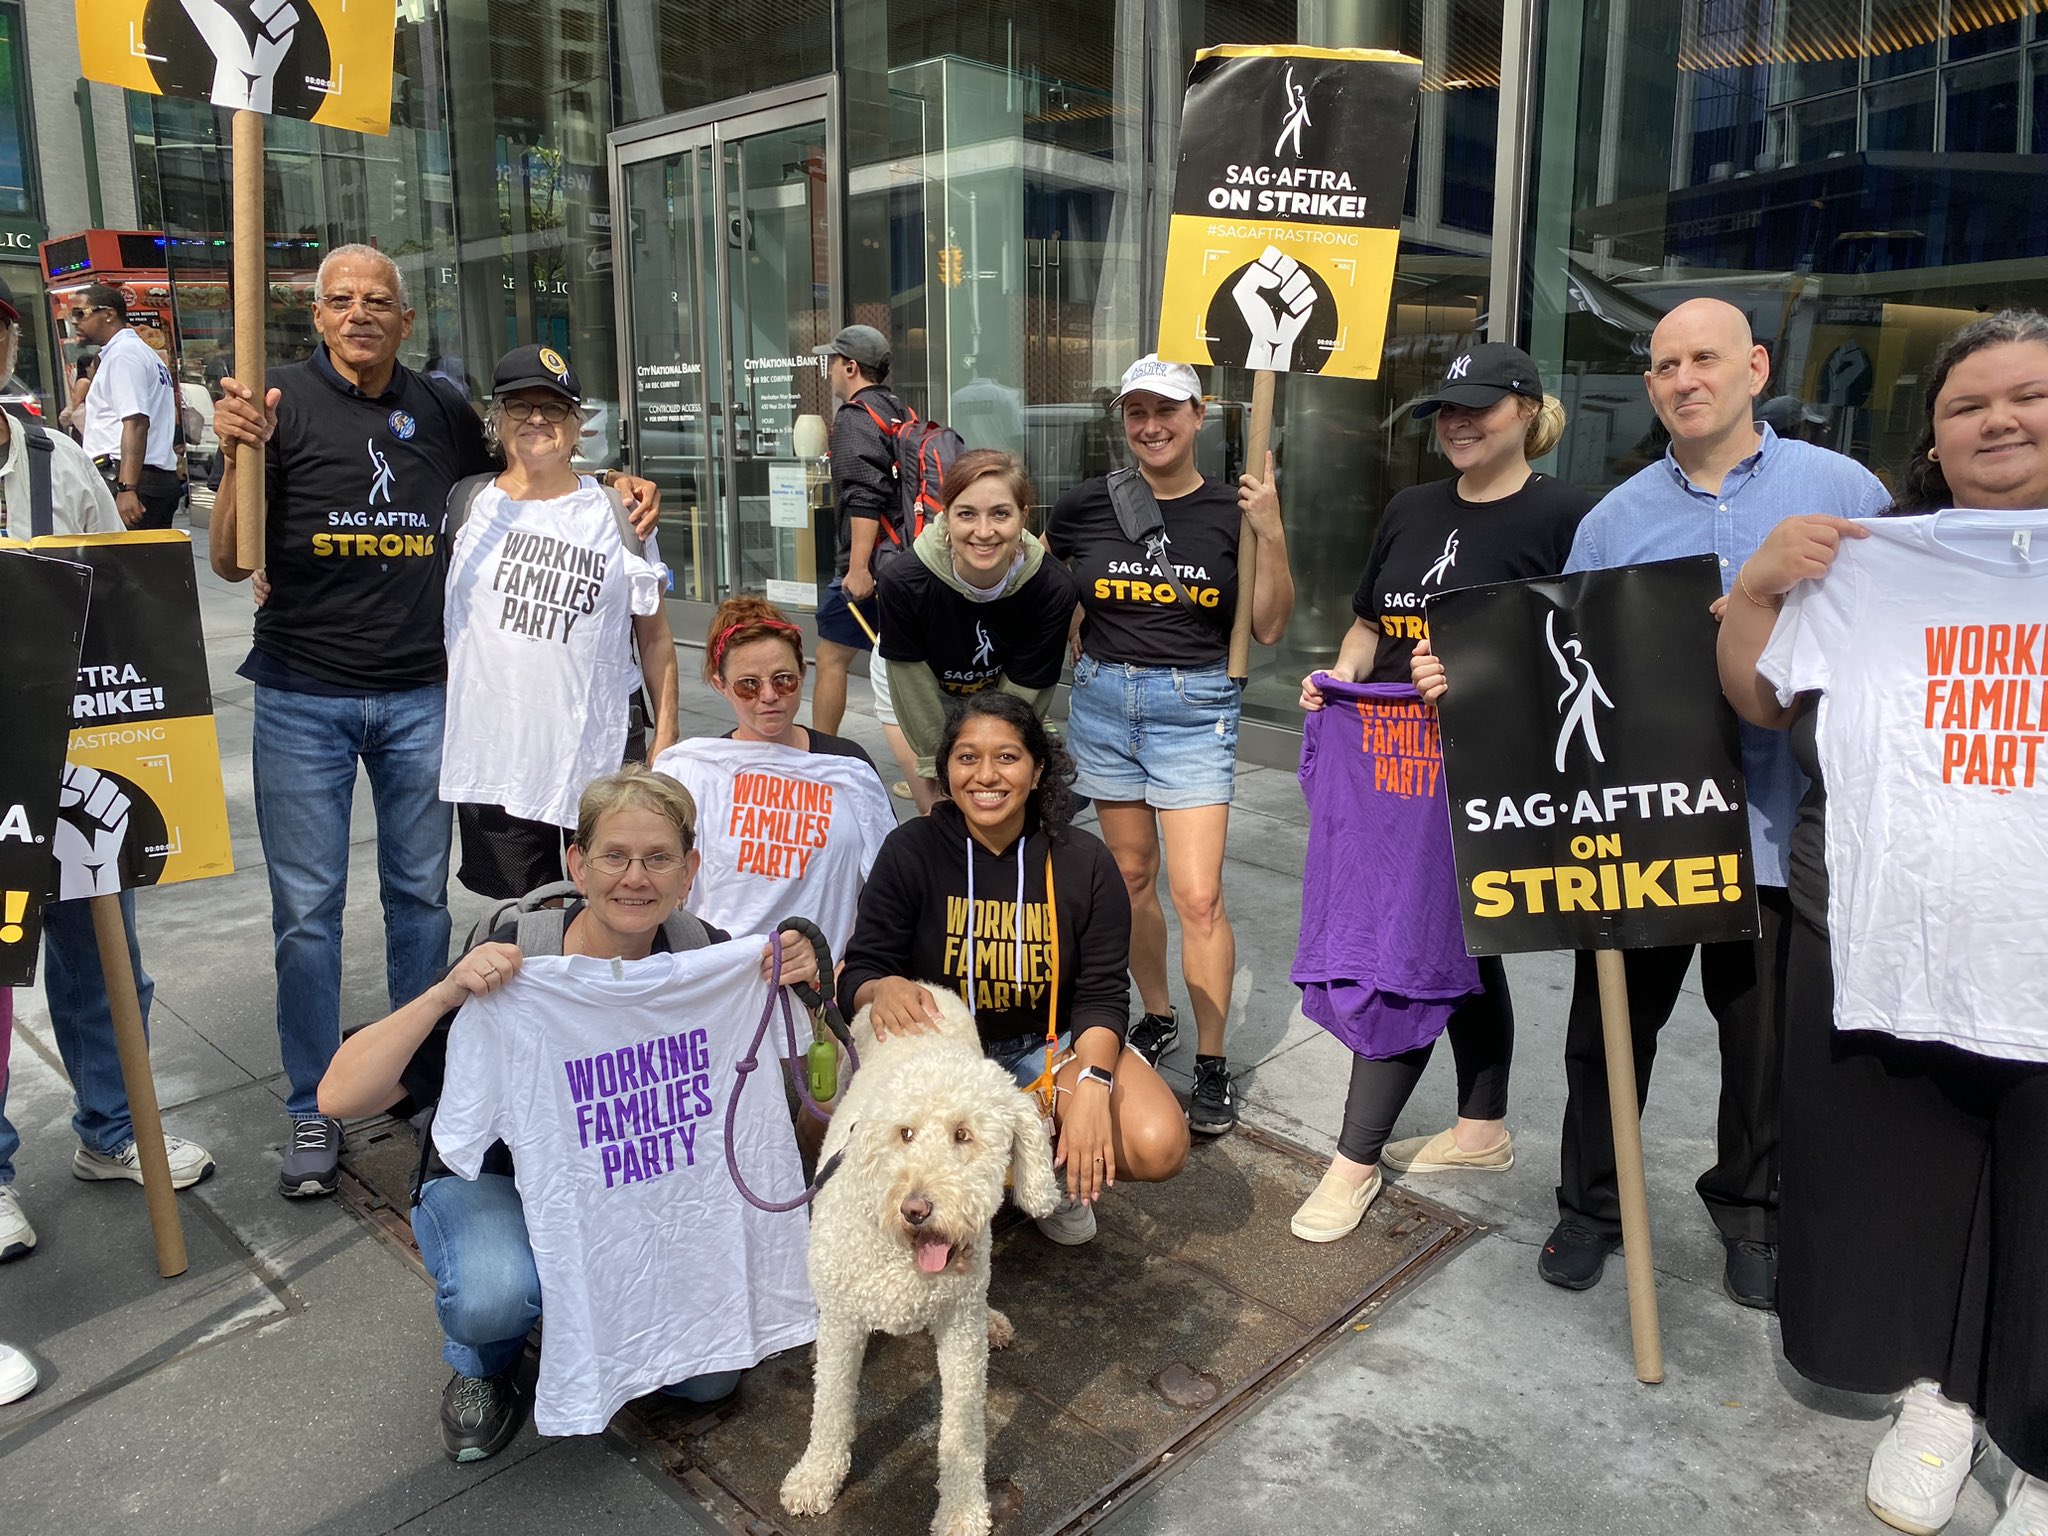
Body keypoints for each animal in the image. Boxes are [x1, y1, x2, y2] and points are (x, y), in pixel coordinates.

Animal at [782, 987, 1064, 1536]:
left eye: (964, 1135)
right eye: (905, 1133)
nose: (916, 1209)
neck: (903, 1256)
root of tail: (924, 986)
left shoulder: (959, 1330)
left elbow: (963, 1431)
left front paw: (962, 1510)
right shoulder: (845, 1320)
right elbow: (830, 1408)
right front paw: (816, 1477)